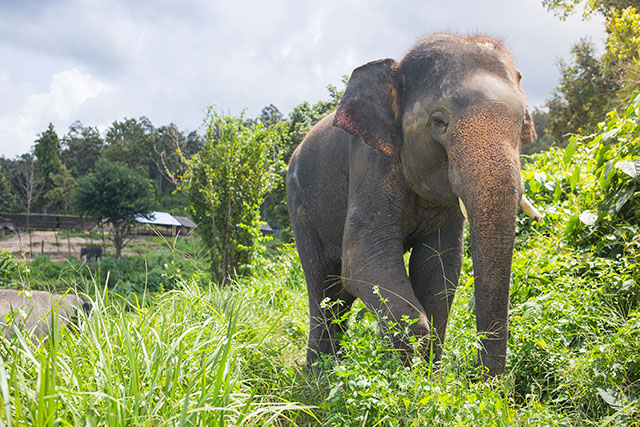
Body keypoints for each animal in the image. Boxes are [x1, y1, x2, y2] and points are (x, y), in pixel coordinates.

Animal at [288, 32, 544, 378]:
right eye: (438, 121)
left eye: (523, 124)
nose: (483, 382)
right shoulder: (371, 162)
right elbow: (363, 260)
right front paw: (410, 375)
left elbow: (439, 265)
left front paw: (429, 376)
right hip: (299, 204)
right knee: (323, 286)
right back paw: (320, 377)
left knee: (339, 296)